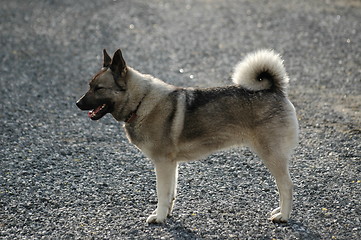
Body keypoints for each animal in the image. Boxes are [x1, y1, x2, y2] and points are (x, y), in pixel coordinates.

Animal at [76, 48, 298, 223]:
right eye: (89, 85)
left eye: (99, 88)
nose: (77, 103)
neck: (141, 102)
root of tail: (275, 89)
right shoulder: (171, 164)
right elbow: (171, 194)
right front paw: (166, 215)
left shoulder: (162, 163)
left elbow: (162, 194)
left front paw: (159, 218)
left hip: (271, 155)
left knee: (286, 186)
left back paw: (283, 216)